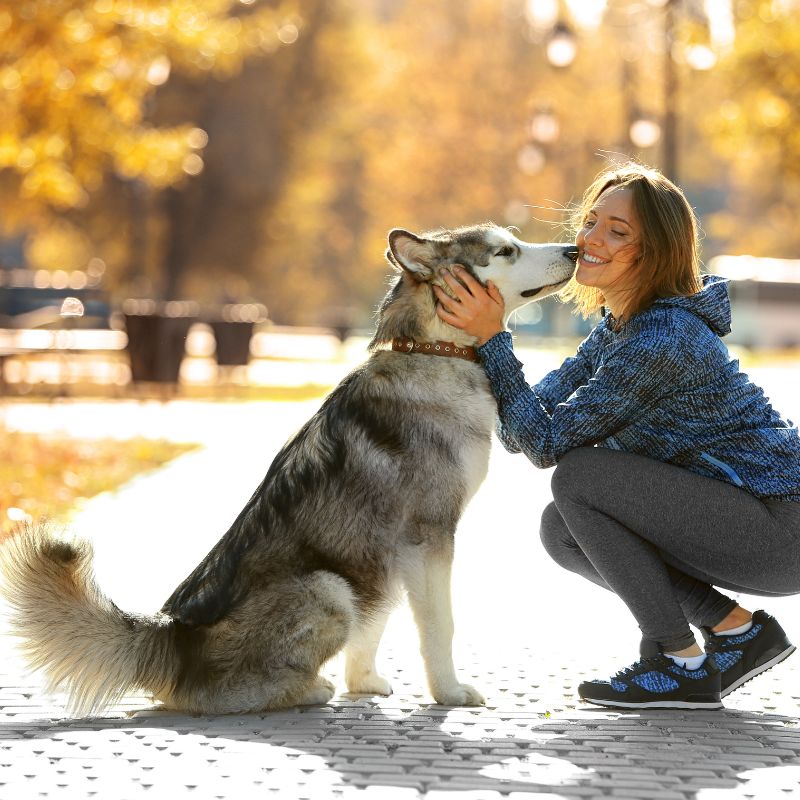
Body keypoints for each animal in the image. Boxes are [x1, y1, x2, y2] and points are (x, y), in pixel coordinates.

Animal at [0, 222, 576, 716]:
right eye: (506, 251)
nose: (573, 250)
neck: (433, 349)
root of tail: (175, 633)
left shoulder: (386, 554)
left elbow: (374, 626)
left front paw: (364, 683)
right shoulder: (430, 536)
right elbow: (441, 627)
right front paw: (449, 693)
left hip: (350, 576)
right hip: (328, 588)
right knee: (225, 696)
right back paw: (306, 690)